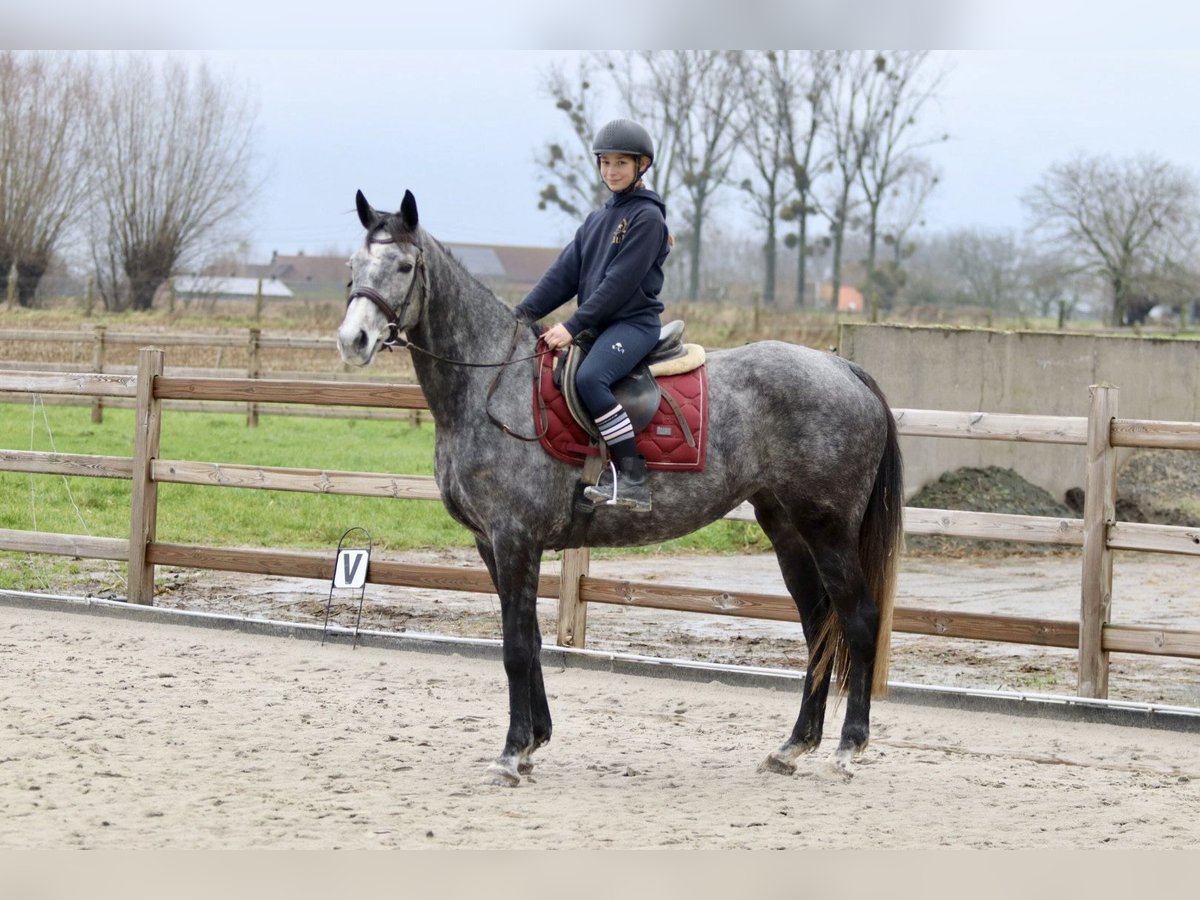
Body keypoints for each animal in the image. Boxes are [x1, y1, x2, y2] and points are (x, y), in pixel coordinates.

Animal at [338, 192, 902, 787]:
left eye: (405, 266)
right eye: (353, 265)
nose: (353, 341)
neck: (492, 385)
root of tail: (841, 366)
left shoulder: (515, 540)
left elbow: (515, 647)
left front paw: (511, 754)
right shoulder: (491, 544)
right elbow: (531, 640)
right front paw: (535, 740)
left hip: (829, 530)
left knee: (859, 620)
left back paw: (849, 746)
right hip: (787, 529)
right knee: (818, 624)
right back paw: (793, 746)